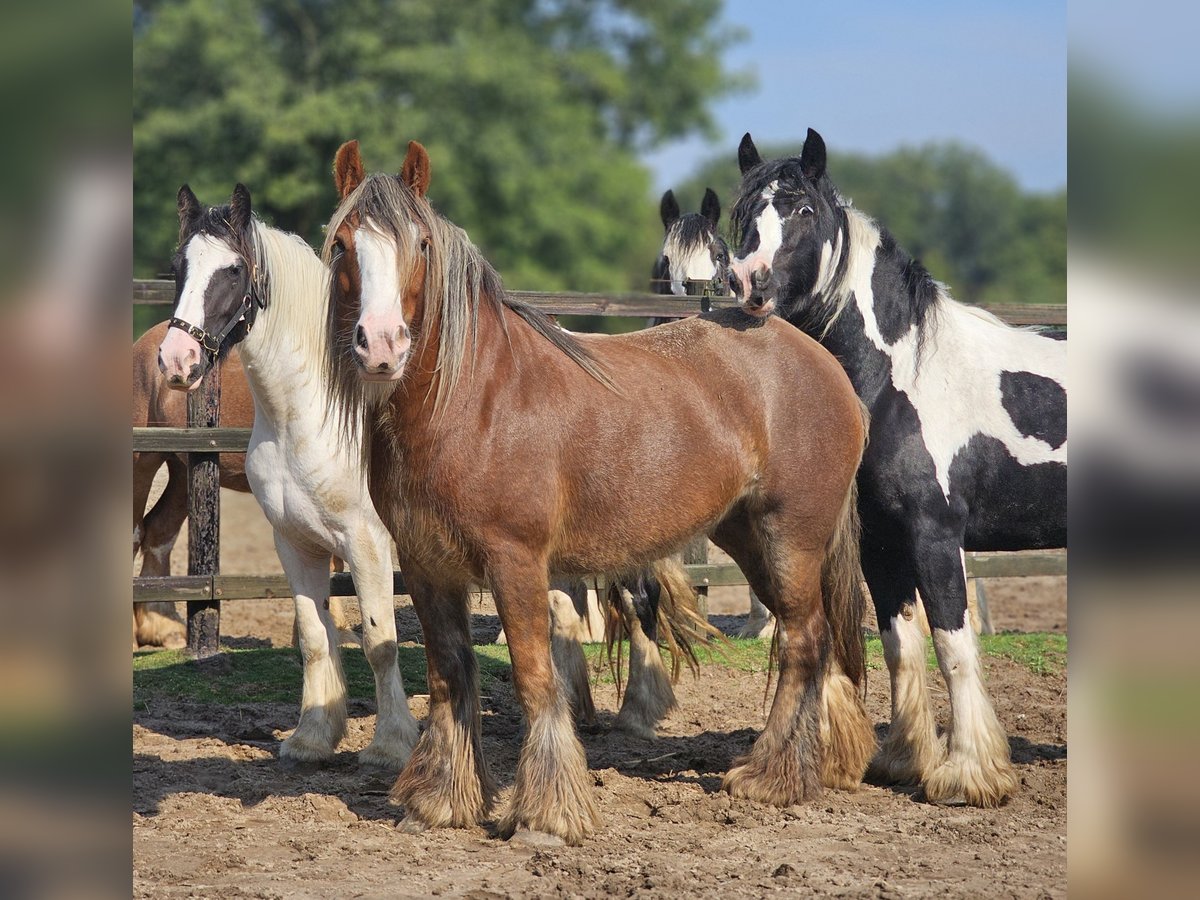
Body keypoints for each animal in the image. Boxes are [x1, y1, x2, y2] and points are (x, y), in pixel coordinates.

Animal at [324, 139, 878, 844]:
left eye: (419, 244)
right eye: (343, 245)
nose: (381, 345)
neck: (473, 400)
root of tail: (824, 366)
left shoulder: (515, 561)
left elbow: (536, 677)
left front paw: (547, 814)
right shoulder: (426, 566)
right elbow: (451, 676)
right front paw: (440, 801)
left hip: (792, 534)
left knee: (804, 640)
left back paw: (769, 778)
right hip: (749, 536)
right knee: (809, 635)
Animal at [729, 128, 1070, 811]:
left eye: (801, 210)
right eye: (743, 212)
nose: (747, 281)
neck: (904, 377)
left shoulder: (935, 536)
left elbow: (954, 646)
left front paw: (968, 775)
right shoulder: (882, 543)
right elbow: (900, 646)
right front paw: (905, 760)